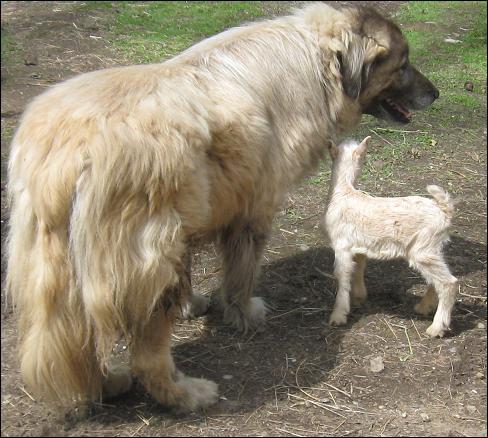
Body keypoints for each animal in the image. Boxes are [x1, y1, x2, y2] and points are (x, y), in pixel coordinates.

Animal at [5, 3, 438, 412]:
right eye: (402, 65)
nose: (435, 95)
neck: (316, 63)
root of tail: (71, 150)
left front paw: (193, 304)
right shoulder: (253, 208)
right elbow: (242, 271)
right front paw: (244, 311)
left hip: (61, 272)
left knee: (79, 342)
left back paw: (106, 384)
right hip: (146, 262)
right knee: (146, 356)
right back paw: (186, 394)